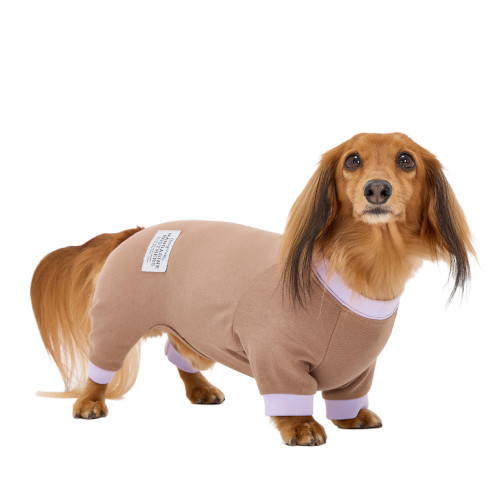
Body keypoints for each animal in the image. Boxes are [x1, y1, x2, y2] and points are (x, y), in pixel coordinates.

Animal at [31, 132, 474, 446]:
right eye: (353, 160)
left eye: (406, 160)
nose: (377, 189)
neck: (361, 269)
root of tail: (138, 232)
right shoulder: (276, 357)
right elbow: (291, 397)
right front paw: (300, 426)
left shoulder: (358, 369)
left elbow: (349, 396)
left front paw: (352, 417)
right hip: (117, 320)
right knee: (100, 368)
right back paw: (90, 401)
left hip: (192, 328)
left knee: (178, 354)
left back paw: (201, 389)